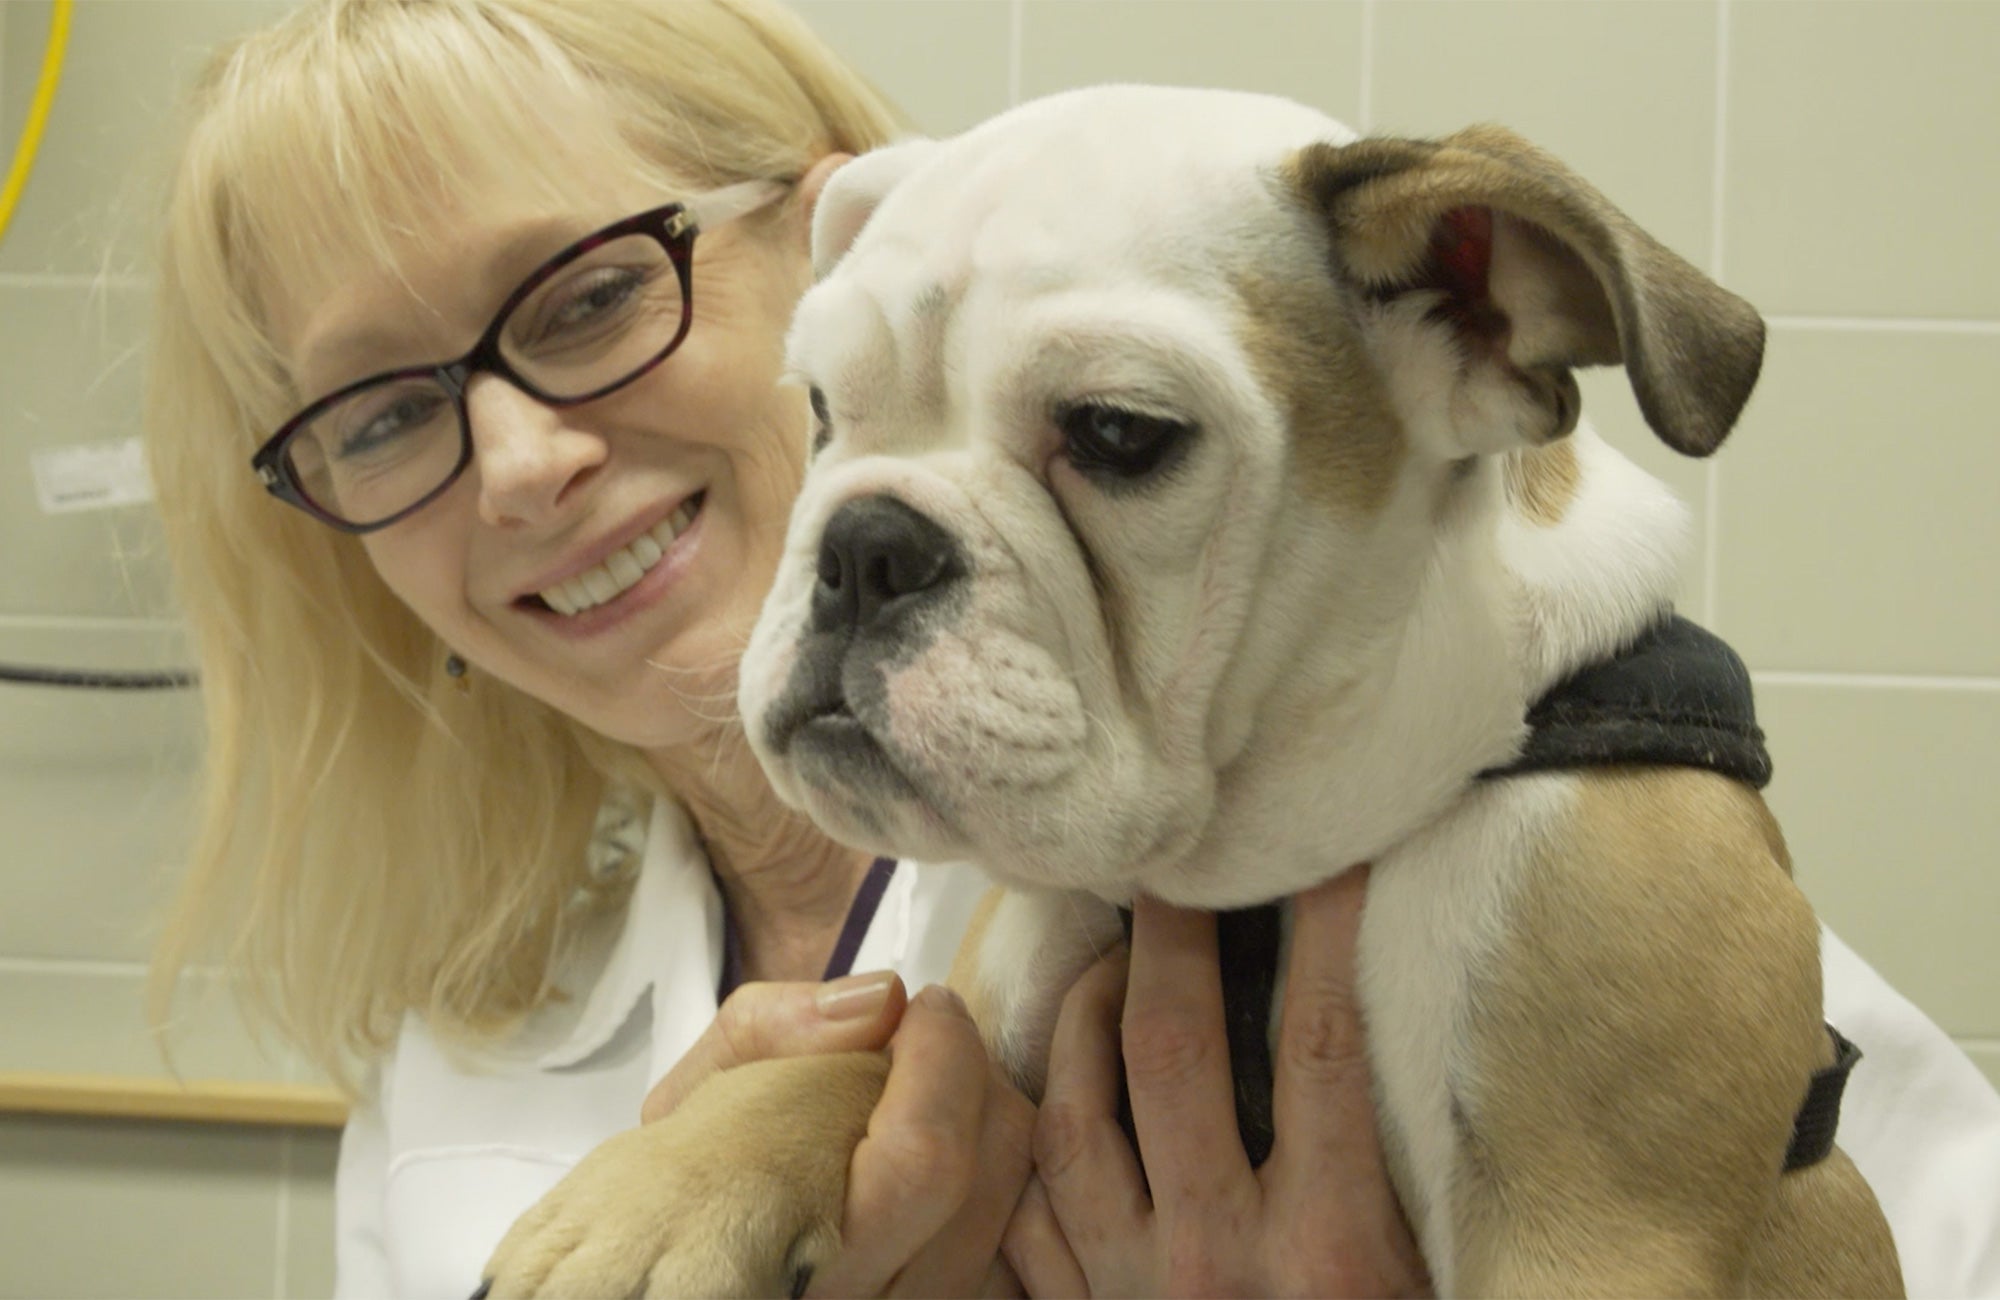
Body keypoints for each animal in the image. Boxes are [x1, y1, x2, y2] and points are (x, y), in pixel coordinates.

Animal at [484, 86, 1904, 1288]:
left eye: (1119, 434)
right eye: (824, 409)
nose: (862, 547)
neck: (1247, 876)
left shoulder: (1592, 1229)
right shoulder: (1005, 1028)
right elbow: (880, 1045)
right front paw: (657, 1193)